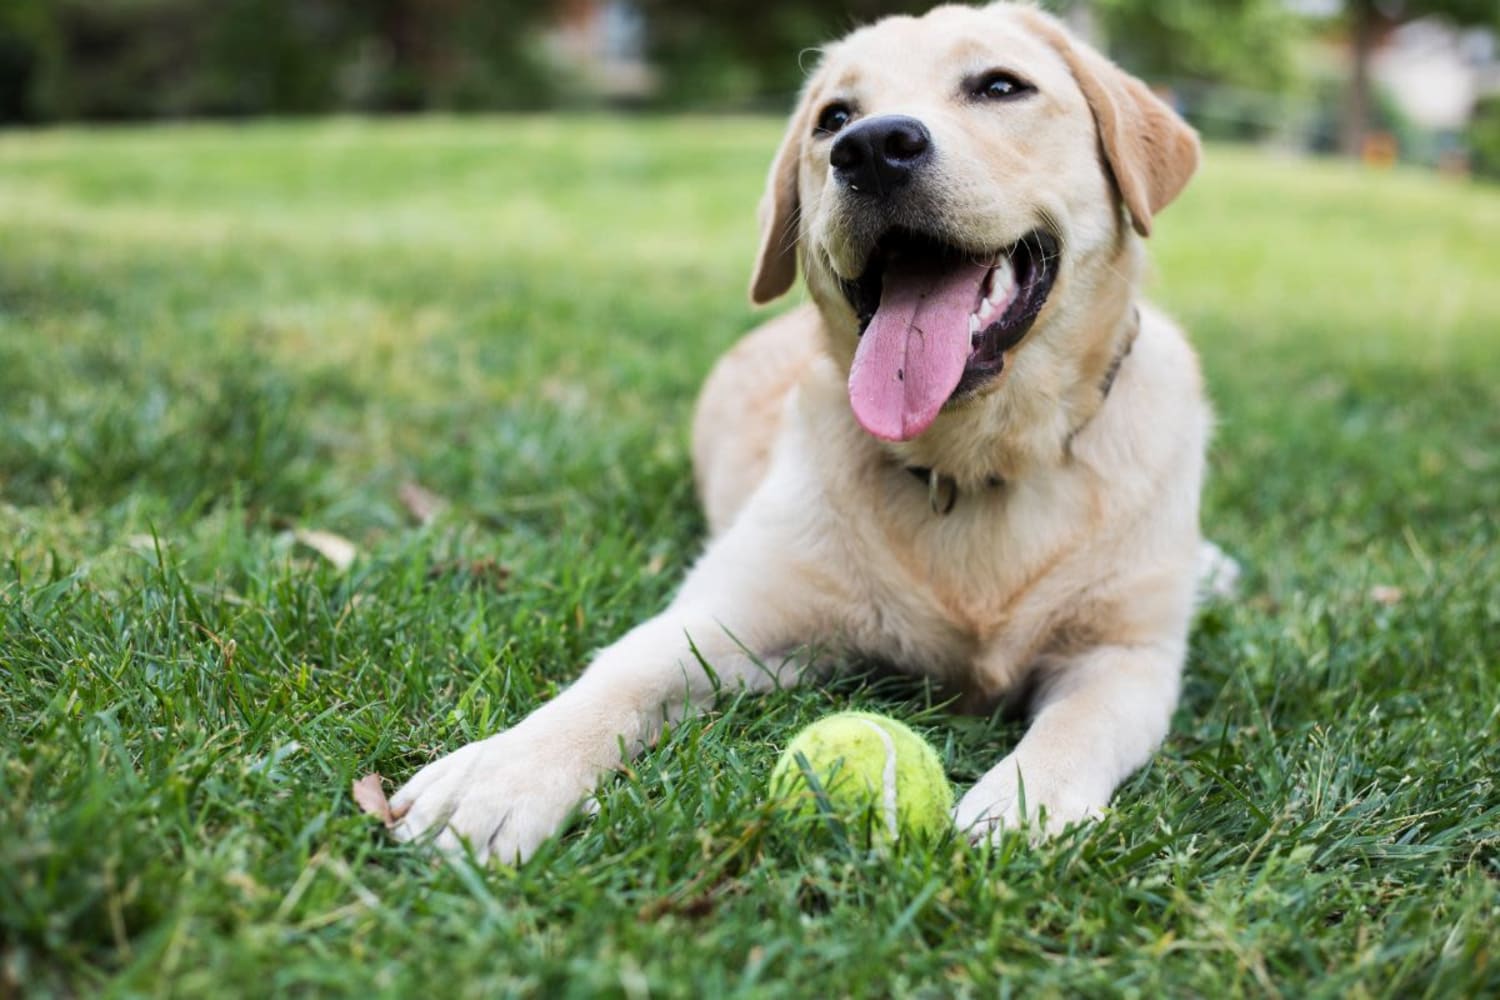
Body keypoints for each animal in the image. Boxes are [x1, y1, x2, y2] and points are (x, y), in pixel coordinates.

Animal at [387, 0, 1206, 863]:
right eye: (833, 119)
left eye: (1000, 86)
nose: (872, 149)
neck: (969, 461)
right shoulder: (741, 620)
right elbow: (623, 671)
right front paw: (502, 773)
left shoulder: (1127, 658)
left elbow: (1079, 724)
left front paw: (1023, 805)